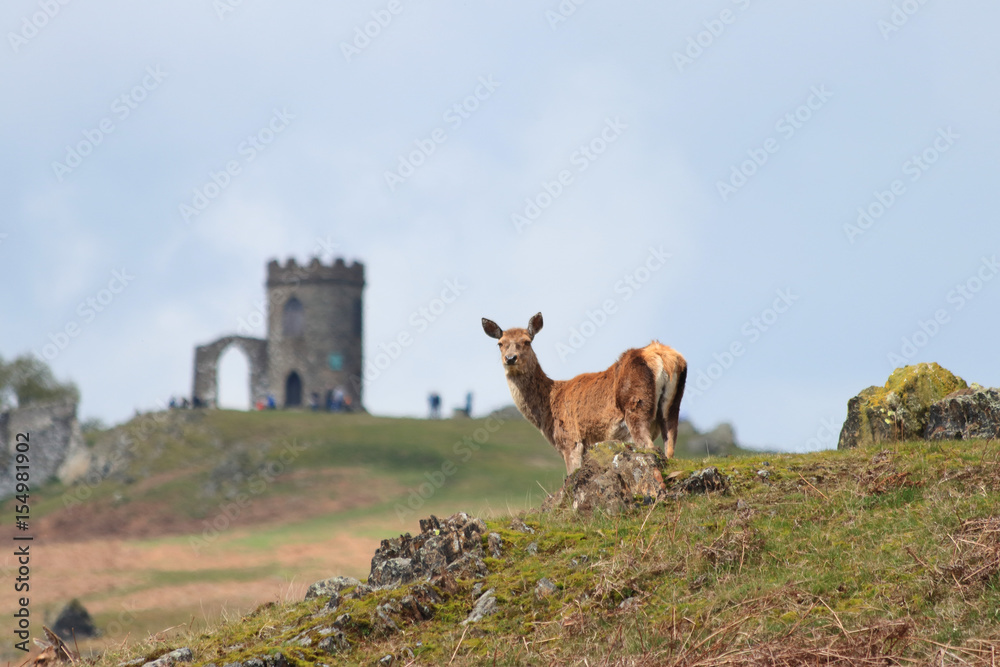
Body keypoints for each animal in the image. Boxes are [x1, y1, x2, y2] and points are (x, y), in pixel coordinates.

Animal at [481, 312, 687, 475]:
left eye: (527, 341)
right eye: (500, 343)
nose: (510, 358)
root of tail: (663, 357)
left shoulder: (570, 440)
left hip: (636, 405)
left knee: (649, 448)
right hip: (672, 406)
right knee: (670, 449)